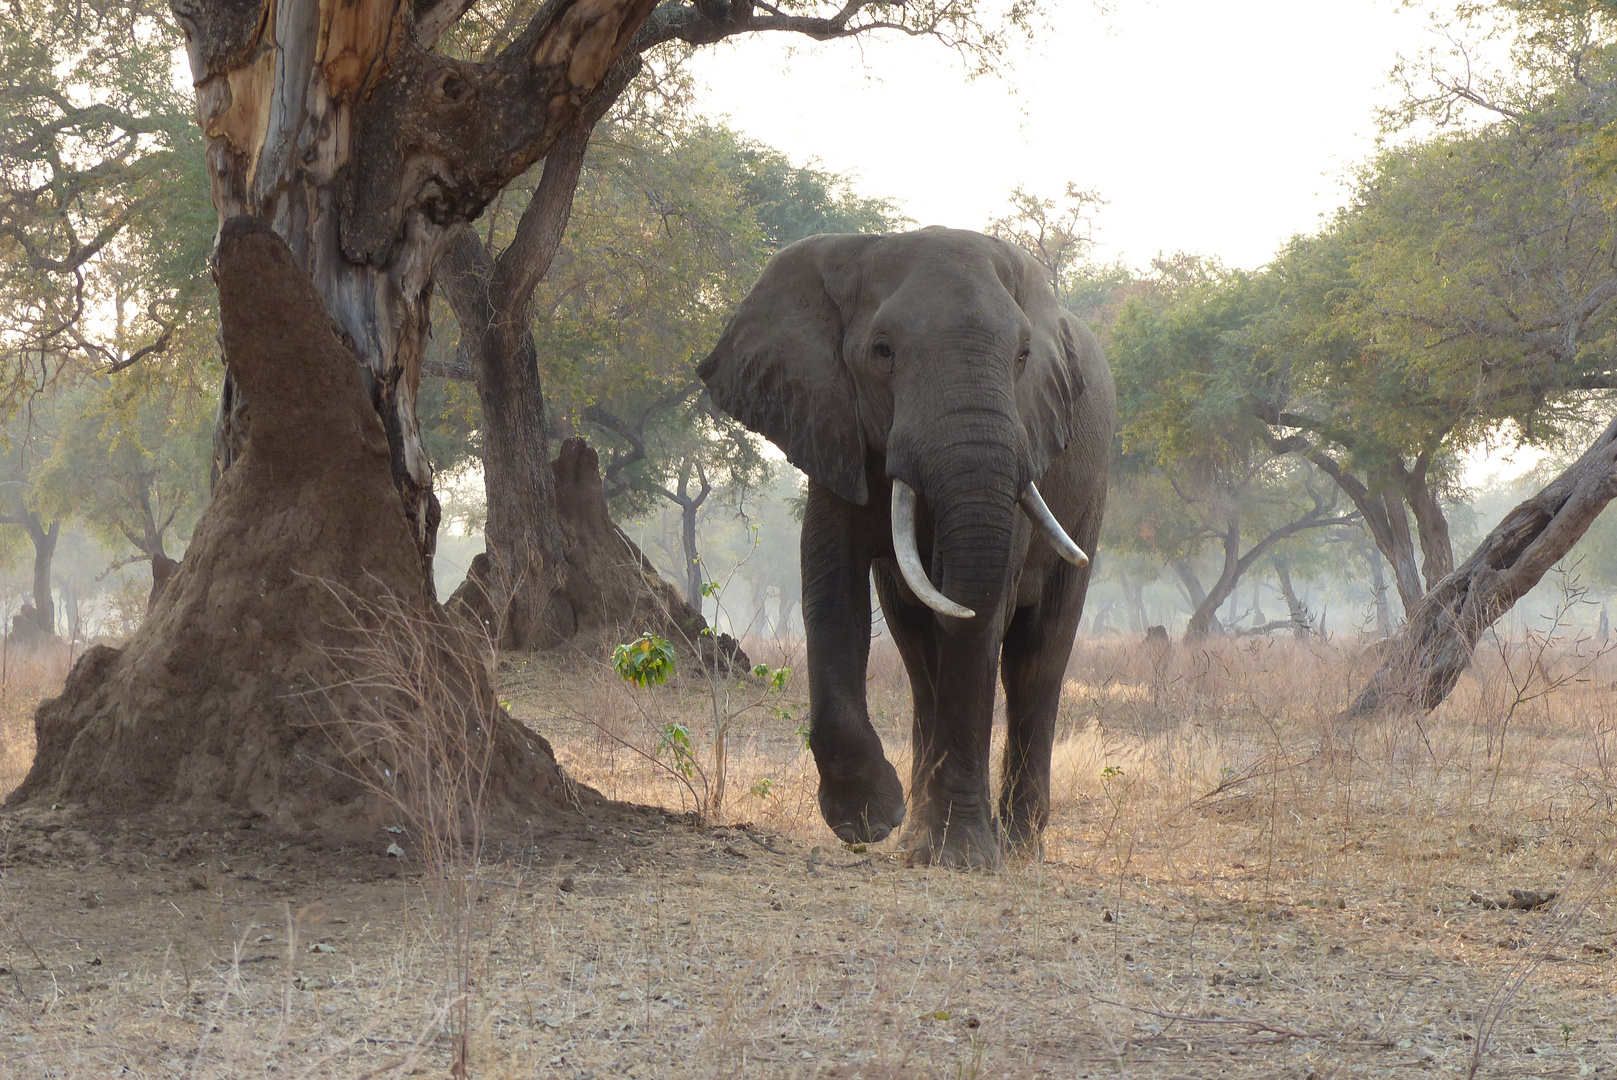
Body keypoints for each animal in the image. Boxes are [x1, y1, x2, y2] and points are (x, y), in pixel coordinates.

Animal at [695, 227, 1112, 866]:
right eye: (883, 351)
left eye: (1022, 356)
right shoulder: (830, 420)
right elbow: (829, 585)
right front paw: (872, 819)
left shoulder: (1027, 448)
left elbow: (979, 603)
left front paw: (960, 857)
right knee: (919, 656)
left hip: (1088, 495)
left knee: (1038, 657)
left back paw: (1018, 845)